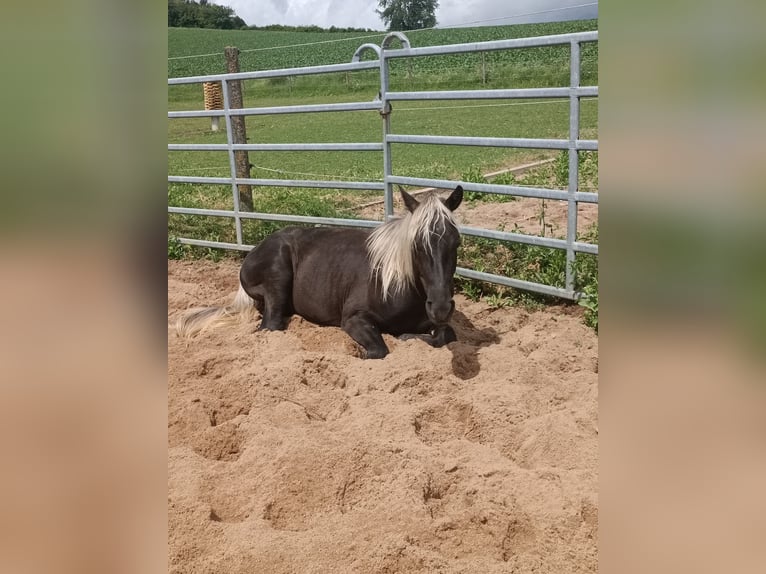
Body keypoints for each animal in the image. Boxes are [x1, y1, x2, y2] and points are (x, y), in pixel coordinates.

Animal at [177, 186, 464, 360]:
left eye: (456, 242)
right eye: (417, 245)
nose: (440, 307)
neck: (395, 283)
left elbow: (446, 335)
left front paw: (409, 336)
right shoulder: (353, 319)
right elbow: (379, 350)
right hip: (278, 277)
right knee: (271, 326)